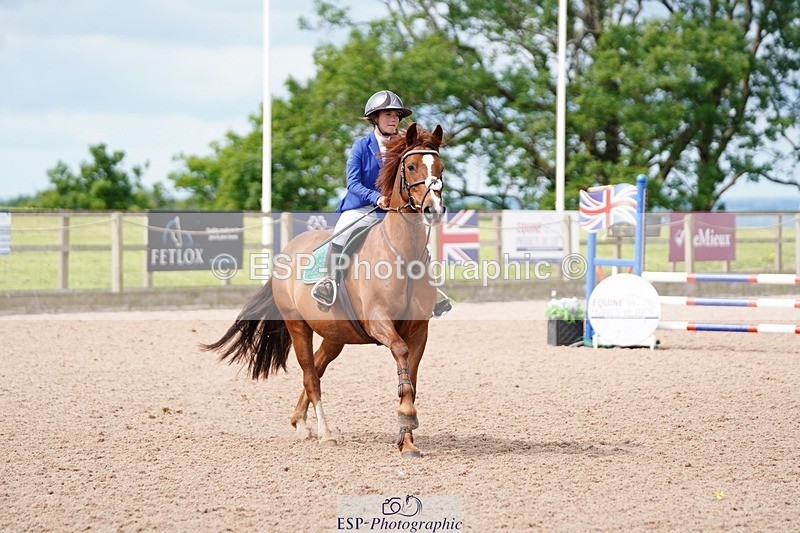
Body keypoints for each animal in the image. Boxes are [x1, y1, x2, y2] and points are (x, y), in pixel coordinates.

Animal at [203, 123, 447, 458]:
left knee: (317, 368)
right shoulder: (379, 320)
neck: (403, 252)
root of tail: (288, 250)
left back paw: (299, 421)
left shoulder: (419, 328)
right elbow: (401, 355)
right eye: (410, 166)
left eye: (441, 167)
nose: (433, 209)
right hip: (298, 327)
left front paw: (407, 439)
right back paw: (324, 433)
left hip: (335, 334)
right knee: (311, 376)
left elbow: (411, 376)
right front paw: (407, 419)